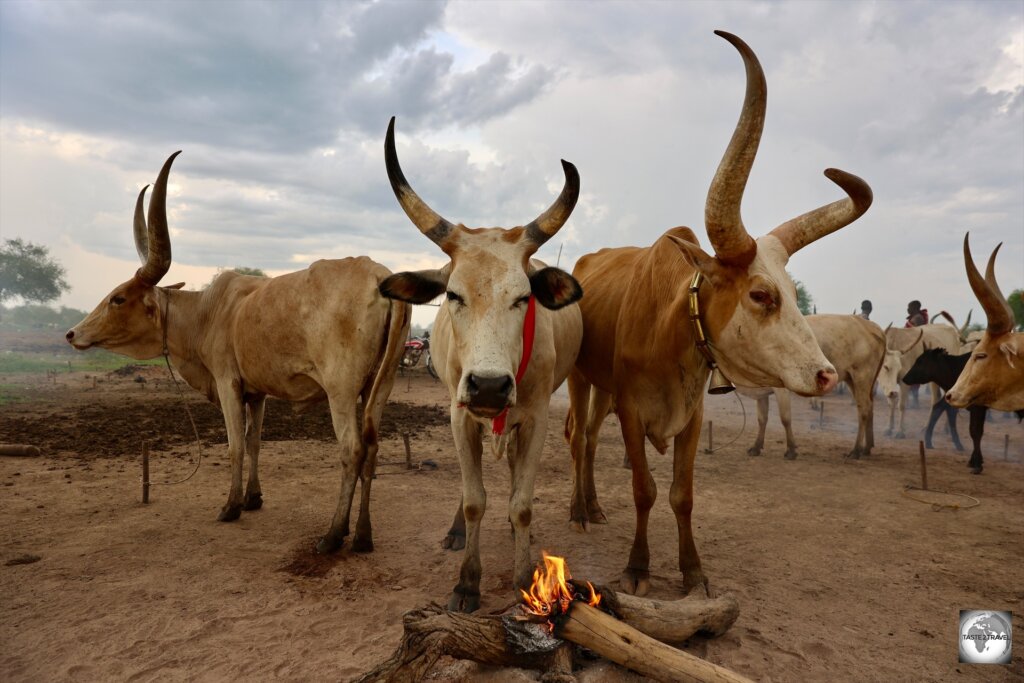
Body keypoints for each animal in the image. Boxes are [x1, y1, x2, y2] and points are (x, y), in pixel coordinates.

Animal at [65, 153, 411, 557]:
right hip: (379, 386)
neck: (208, 313)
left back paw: (333, 534)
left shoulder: (227, 382)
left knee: (352, 449)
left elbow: (234, 446)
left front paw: (230, 506)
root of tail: (381, 278)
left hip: (340, 391)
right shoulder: (256, 392)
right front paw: (252, 497)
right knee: (371, 448)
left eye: (119, 298)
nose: (73, 334)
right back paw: (362, 536)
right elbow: (254, 442)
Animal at [376, 117, 585, 614]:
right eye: (453, 294)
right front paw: (467, 582)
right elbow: (474, 500)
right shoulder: (459, 416)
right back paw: (456, 531)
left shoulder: (535, 419)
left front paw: (525, 578)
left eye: (524, 297)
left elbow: (521, 502)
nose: (489, 386)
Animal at [565, 30, 868, 598]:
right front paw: (638, 567)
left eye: (792, 293)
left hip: (601, 386)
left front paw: (693, 571)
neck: (669, 331)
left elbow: (682, 495)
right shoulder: (633, 413)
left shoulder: (691, 416)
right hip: (578, 376)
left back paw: (593, 506)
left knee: (590, 438)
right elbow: (644, 489)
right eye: (761, 295)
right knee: (577, 438)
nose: (826, 375)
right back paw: (577, 510)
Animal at [737, 315, 897, 458]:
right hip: (853, 379)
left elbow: (785, 418)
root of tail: (872, 326)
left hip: (861, 377)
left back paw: (856, 450)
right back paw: (867, 447)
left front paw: (791, 450)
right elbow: (762, 419)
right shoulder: (761, 392)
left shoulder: (781, 389)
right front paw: (756, 447)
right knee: (869, 408)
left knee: (864, 409)